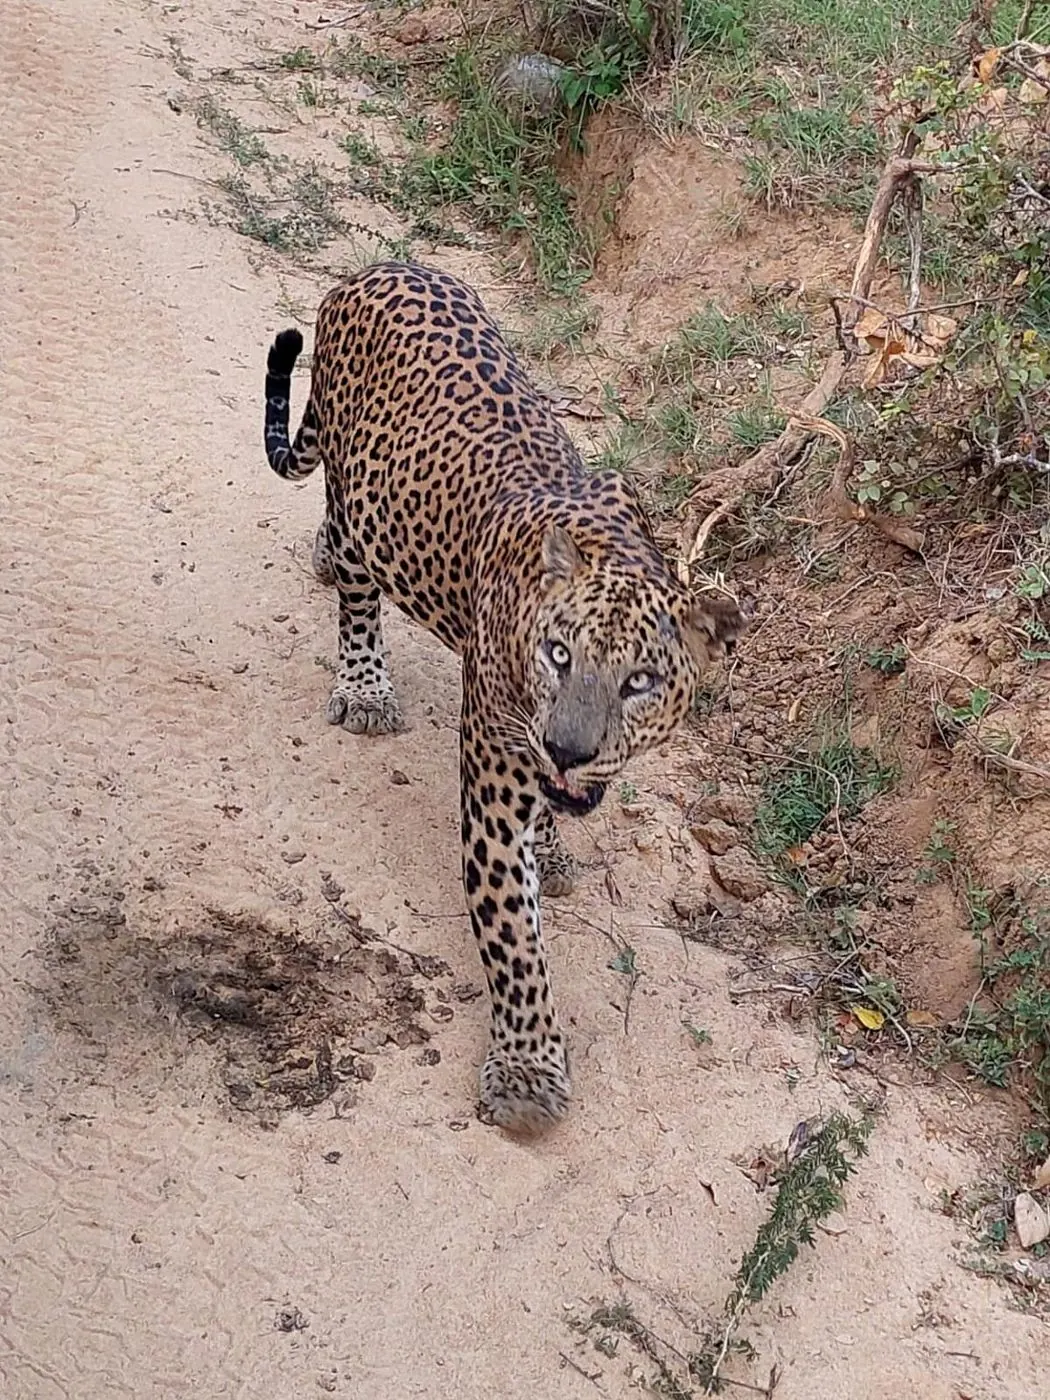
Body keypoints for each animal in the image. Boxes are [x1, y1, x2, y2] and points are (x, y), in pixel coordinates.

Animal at [262, 261, 746, 1133]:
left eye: (640, 682)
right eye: (558, 655)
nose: (568, 749)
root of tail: (376, 268)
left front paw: (552, 843)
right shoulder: (491, 781)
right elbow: (515, 942)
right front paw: (526, 1073)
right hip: (355, 482)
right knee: (356, 581)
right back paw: (364, 684)